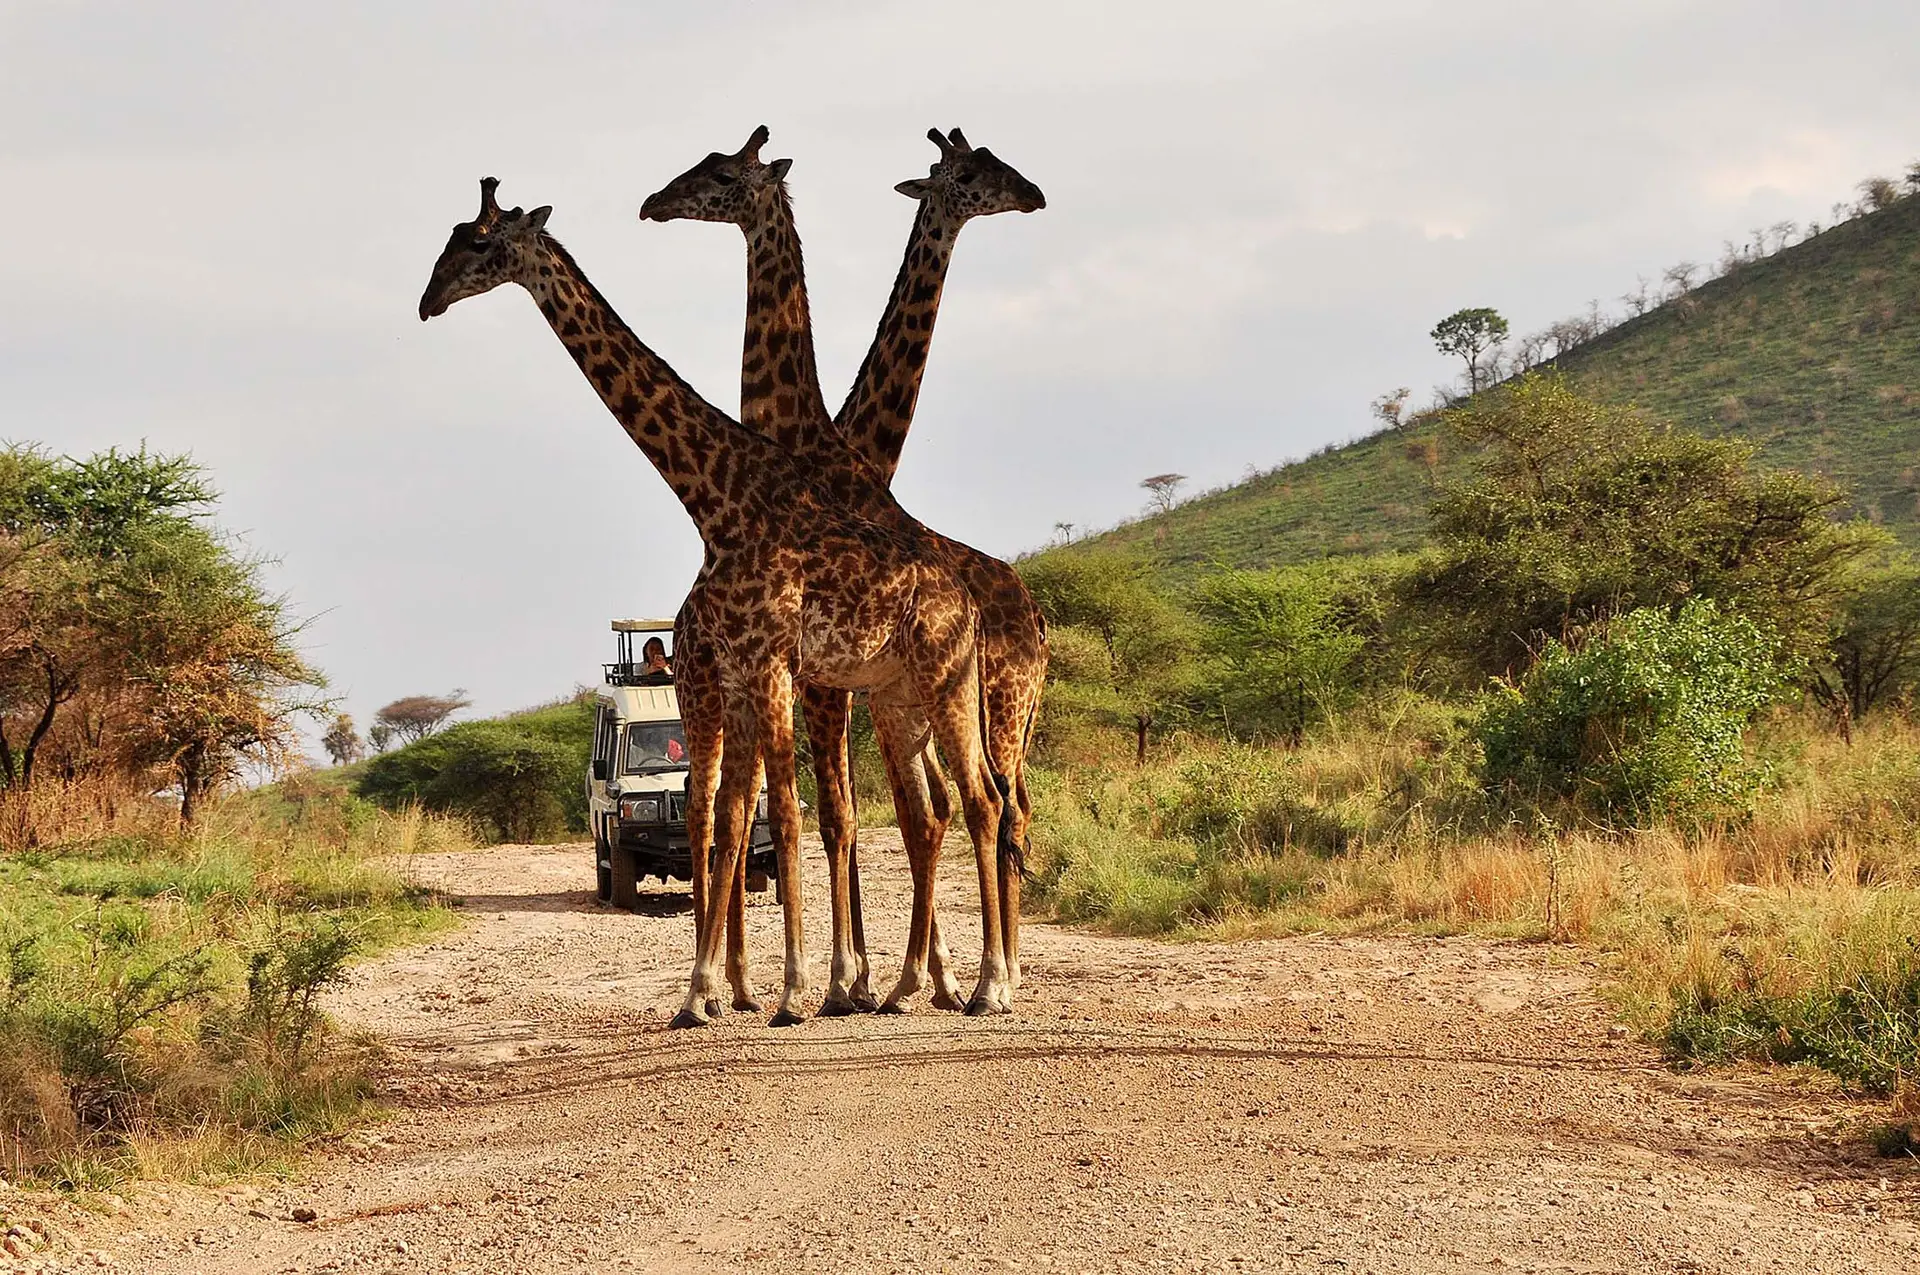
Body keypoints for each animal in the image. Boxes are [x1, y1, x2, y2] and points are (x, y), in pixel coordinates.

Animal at [420, 179, 1021, 1021]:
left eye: (479, 243)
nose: (427, 301)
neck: (719, 500)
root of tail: (967, 602)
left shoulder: (768, 669)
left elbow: (786, 813)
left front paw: (794, 988)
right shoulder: (739, 679)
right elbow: (739, 817)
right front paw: (710, 989)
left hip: (945, 683)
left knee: (983, 801)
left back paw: (987, 985)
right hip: (899, 695)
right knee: (937, 811)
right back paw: (916, 984)